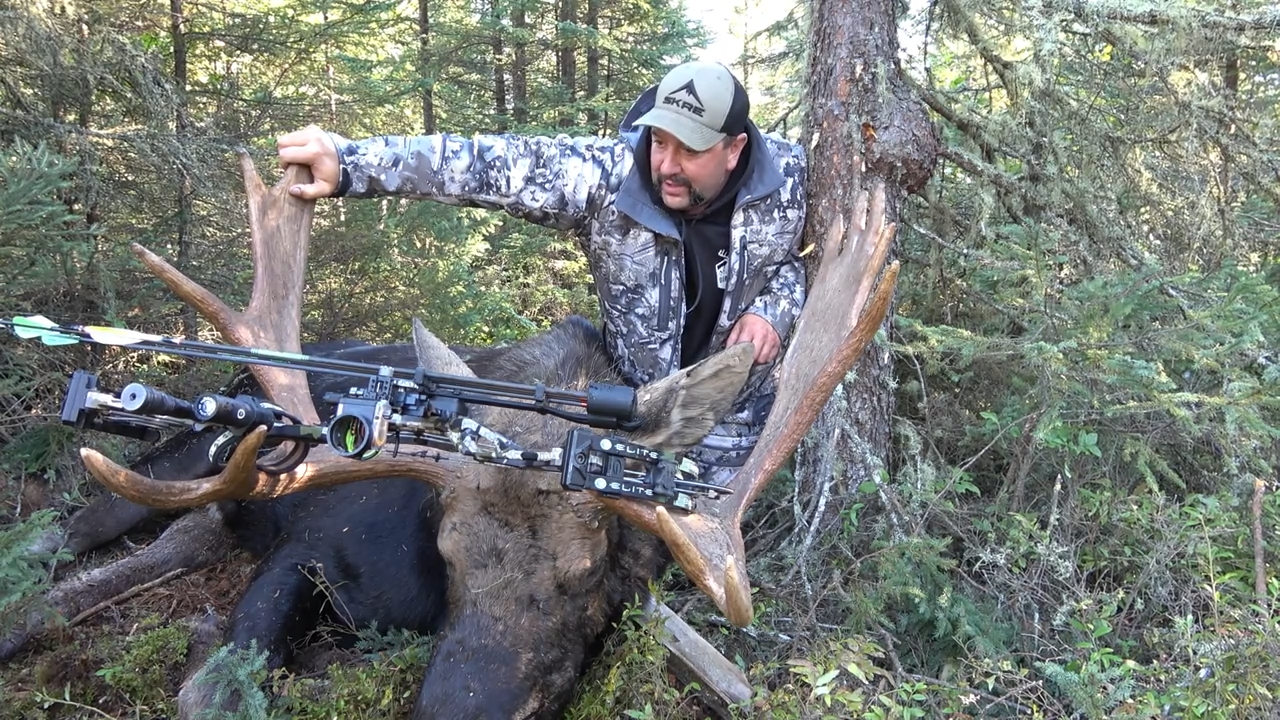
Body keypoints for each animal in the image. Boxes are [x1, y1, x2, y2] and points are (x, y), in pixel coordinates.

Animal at [6, 150, 897, 718]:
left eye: (590, 576)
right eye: (447, 549)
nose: (450, 708)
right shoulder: (308, 546)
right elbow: (214, 691)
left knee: (170, 543)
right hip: (193, 451)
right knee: (79, 525)